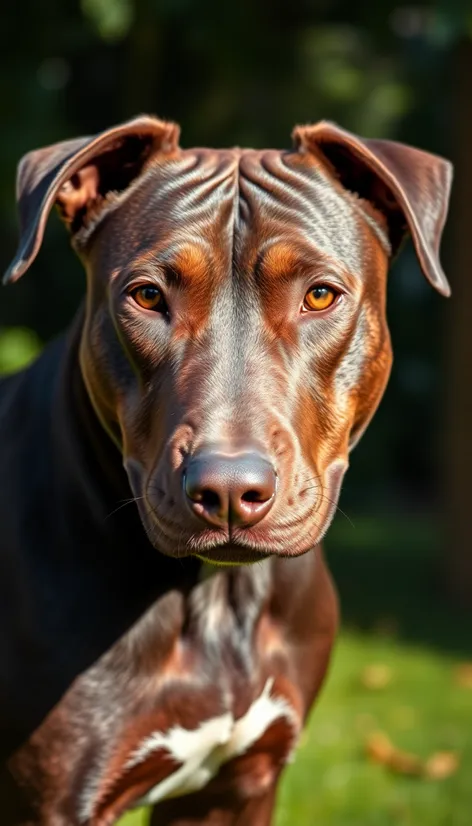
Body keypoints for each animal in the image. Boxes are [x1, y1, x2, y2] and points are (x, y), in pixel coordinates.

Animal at [0, 117, 450, 824]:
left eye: (319, 294)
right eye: (147, 296)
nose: (230, 489)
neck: (217, 596)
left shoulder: (238, 787)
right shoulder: (52, 800)